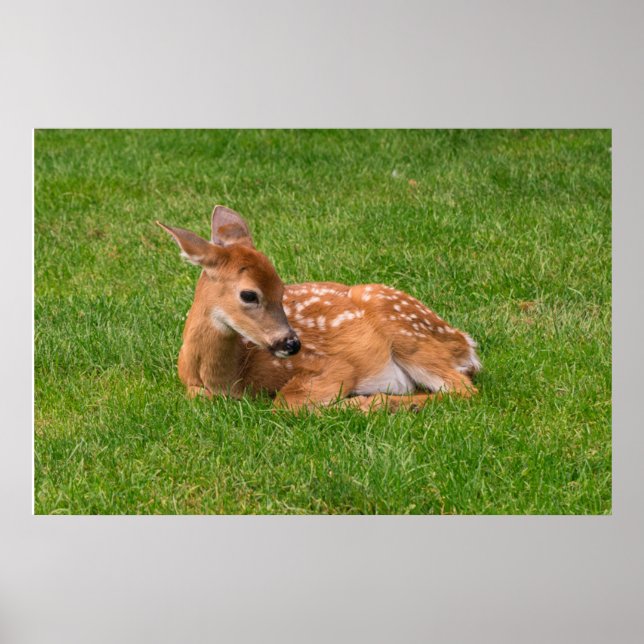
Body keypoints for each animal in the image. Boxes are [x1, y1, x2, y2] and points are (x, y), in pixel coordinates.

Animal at [157, 206, 481, 413]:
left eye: (282, 289)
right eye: (249, 294)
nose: (292, 343)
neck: (231, 376)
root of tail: (465, 343)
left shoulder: (333, 365)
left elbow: (286, 402)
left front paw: (356, 402)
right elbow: (198, 396)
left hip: (407, 332)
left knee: (464, 390)